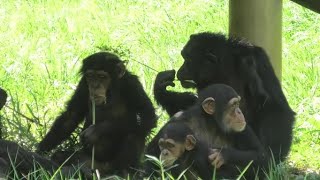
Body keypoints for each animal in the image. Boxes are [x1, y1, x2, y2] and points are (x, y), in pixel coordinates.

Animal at [154, 31, 296, 164]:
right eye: (184, 57)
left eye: (187, 60)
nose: (180, 70)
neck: (223, 67)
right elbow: (194, 105)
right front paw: (161, 87)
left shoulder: (257, 61)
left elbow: (274, 107)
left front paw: (273, 156)